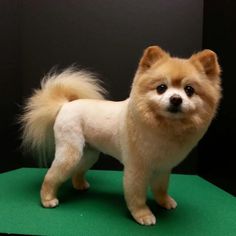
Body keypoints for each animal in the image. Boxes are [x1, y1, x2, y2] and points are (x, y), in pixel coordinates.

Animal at [20, 45, 221, 224]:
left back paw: (80, 185)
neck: (165, 127)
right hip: (70, 152)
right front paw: (143, 215)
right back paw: (47, 199)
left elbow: (161, 188)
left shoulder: (163, 167)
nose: (176, 99)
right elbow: (137, 195)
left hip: (89, 153)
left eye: (189, 90)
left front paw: (164, 202)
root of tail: (65, 105)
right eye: (161, 88)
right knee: (51, 176)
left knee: (78, 170)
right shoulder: (137, 168)